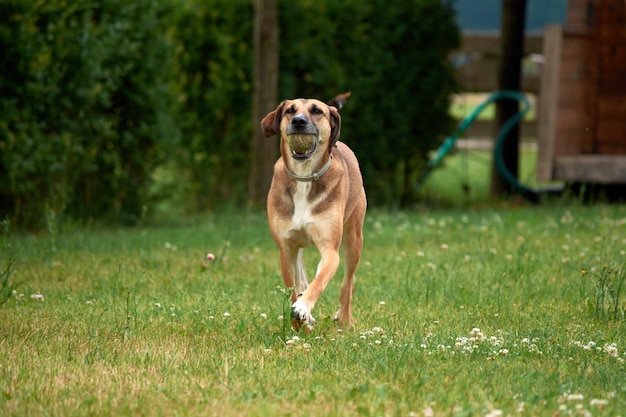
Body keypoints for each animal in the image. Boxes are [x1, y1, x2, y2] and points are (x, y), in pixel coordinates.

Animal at [260, 92, 366, 330]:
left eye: (317, 111)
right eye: (289, 110)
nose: (298, 121)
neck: (304, 177)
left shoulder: (330, 250)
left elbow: (320, 282)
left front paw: (303, 307)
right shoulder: (286, 248)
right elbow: (293, 287)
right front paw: (300, 322)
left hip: (354, 238)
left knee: (348, 283)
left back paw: (345, 320)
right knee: (302, 277)